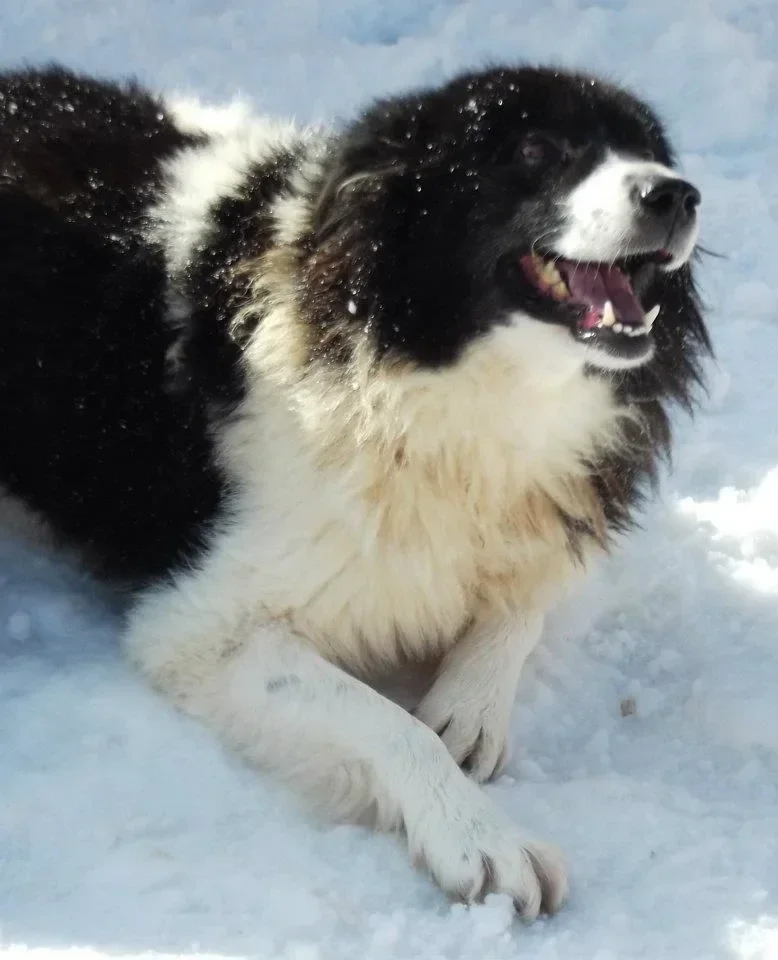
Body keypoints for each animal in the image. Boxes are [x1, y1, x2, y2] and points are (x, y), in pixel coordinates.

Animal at [0, 63, 709, 919]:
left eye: (648, 148)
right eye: (537, 149)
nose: (677, 194)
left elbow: (518, 606)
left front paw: (471, 703)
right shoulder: (201, 625)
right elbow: (388, 724)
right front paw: (481, 838)